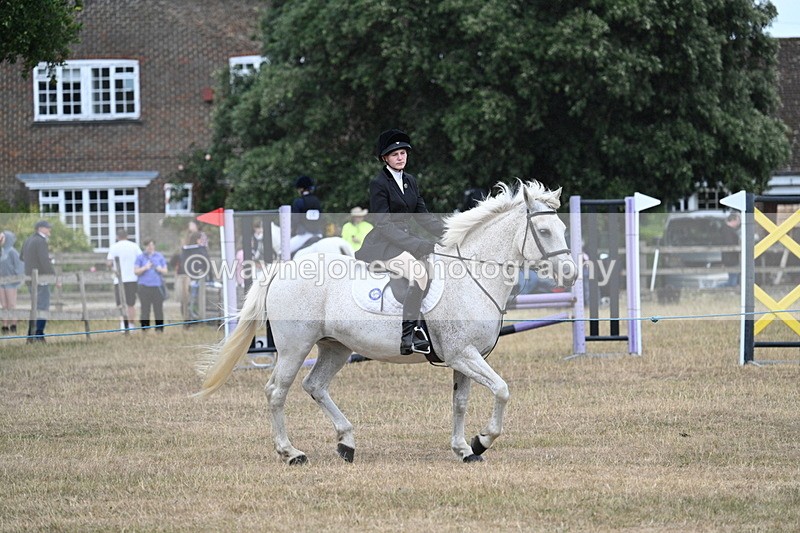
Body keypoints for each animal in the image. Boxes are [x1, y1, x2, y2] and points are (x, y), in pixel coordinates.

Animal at [194, 181, 577, 464]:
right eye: (544, 231)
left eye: (562, 227)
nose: (571, 275)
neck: (472, 275)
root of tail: (280, 268)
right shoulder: (464, 355)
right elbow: (501, 389)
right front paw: (482, 440)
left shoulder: (465, 357)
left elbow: (460, 402)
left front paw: (464, 450)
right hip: (294, 347)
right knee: (277, 391)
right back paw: (291, 453)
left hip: (335, 347)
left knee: (314, 386)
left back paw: (346, 443)